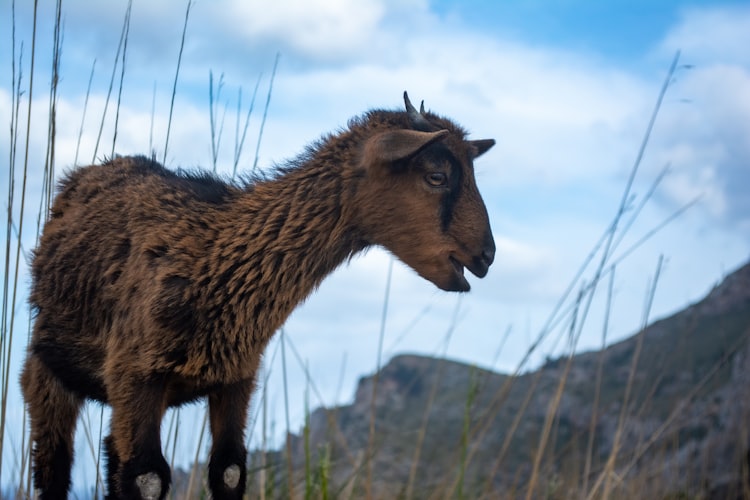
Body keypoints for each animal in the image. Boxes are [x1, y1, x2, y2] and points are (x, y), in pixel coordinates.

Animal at [20, 92, 496, 498]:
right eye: (436, 176)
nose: (487, 256)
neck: (215, 258)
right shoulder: (136, 375)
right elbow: (147, 478)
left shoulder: (237, 381)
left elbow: (229, 471)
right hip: (47, 371)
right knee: (55, 465)